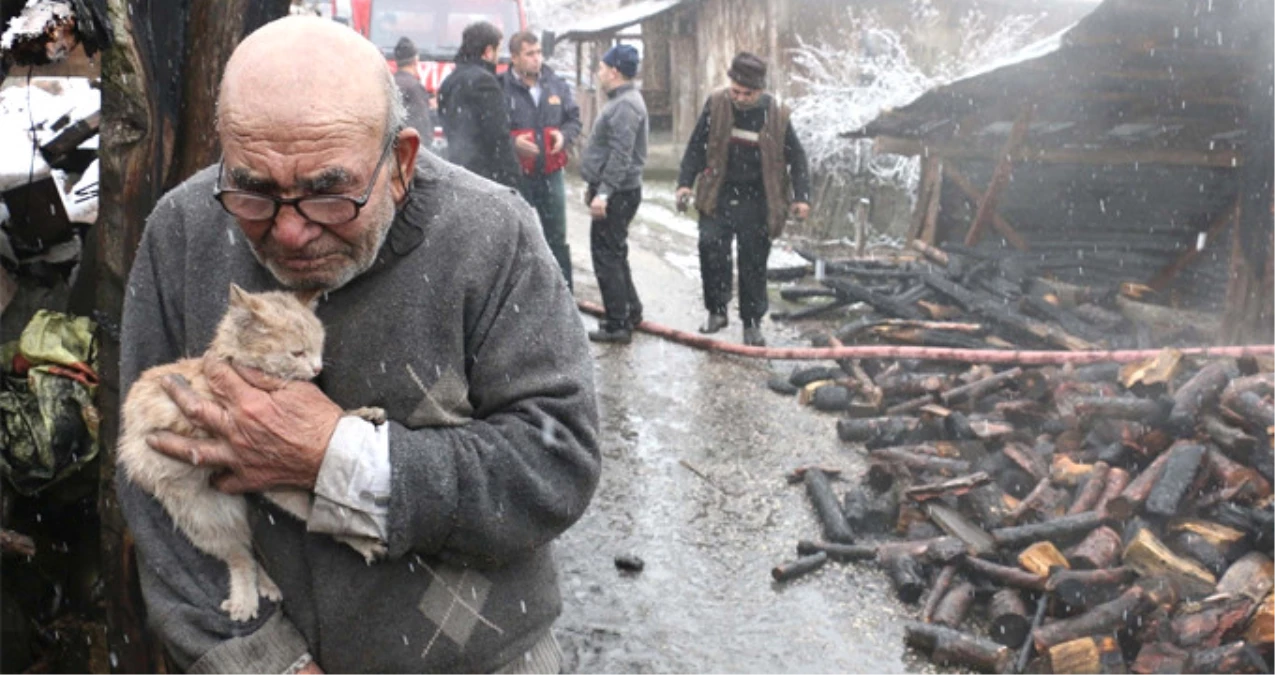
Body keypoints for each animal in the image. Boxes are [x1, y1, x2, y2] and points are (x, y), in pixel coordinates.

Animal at [122, 281, 385, 617]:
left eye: (319, 347)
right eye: (297, 352)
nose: (316, 368)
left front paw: (361, 414)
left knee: (288, 529)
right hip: (204, 519)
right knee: (240, 556)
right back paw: (245, 599)